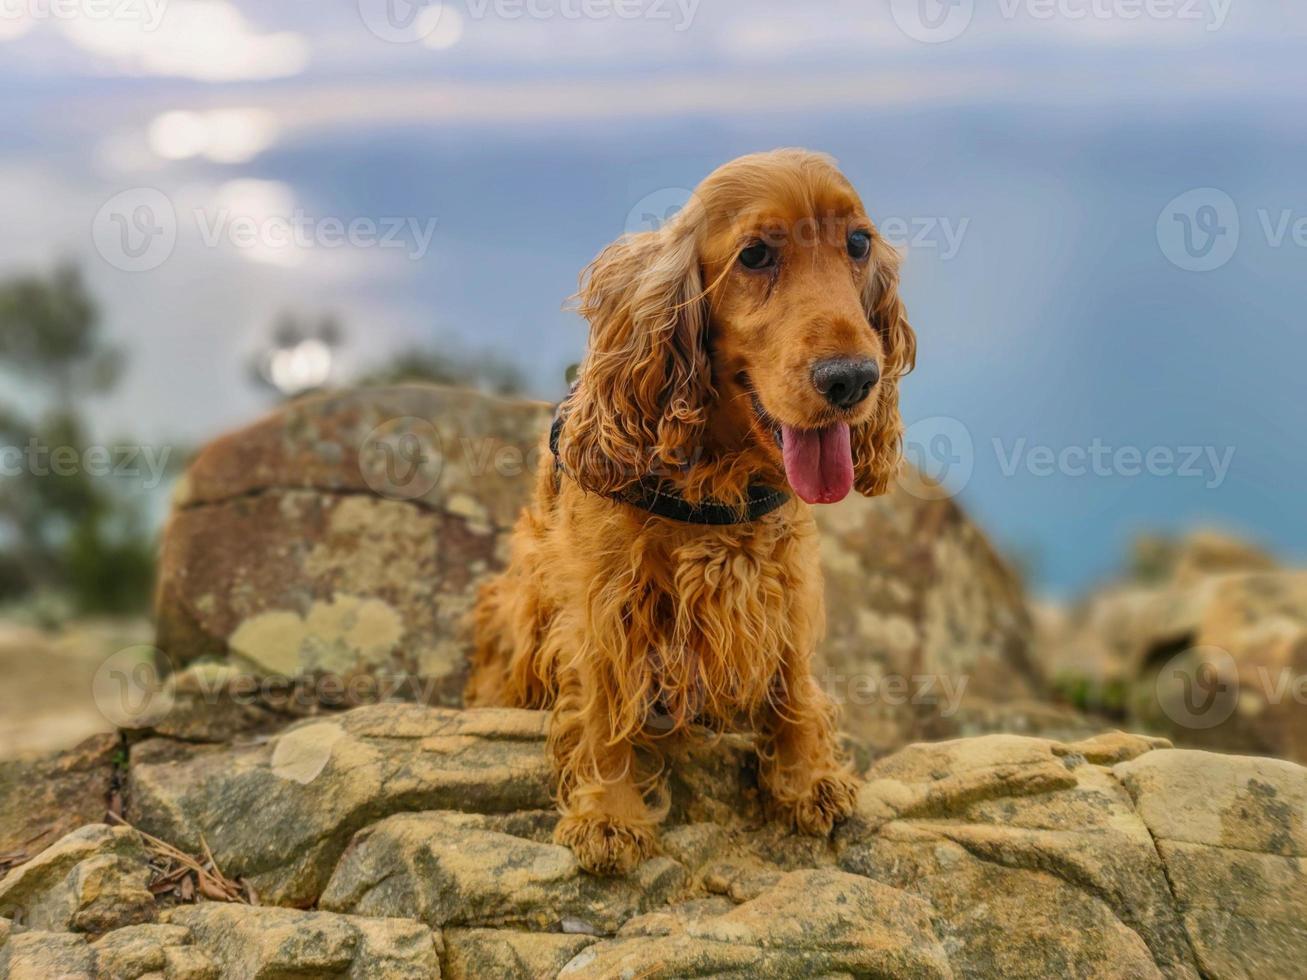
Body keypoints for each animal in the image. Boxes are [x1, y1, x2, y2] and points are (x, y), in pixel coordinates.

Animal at [473, 147, 920, 872]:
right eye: (755, 255)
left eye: (858, 243)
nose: (852, 379)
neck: (719, 479)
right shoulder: (600, 602)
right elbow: (603, 708)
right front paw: (608, 814)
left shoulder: (784, 584)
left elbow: (792, 680)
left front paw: (807, 778)